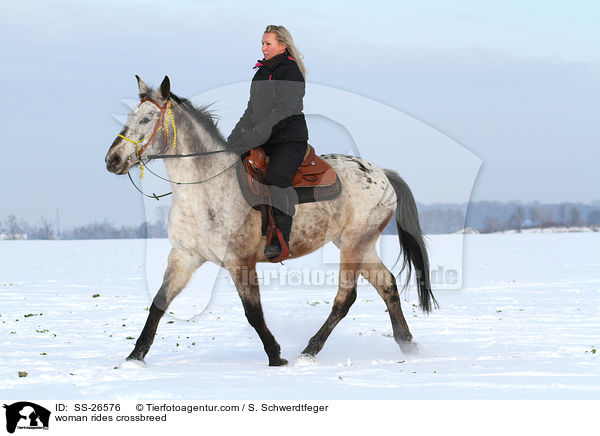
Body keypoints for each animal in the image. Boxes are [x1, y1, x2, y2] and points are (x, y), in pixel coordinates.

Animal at [105, 76, 436, 366]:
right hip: (358, 244)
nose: (113, 160)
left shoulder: (240, 261)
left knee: (346, 297)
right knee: (387, 284)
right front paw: (135, 357)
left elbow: (253, 313)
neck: (206, 188)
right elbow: (159, 303)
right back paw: (407, 344)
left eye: (146, 119)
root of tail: (382, 174)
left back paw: (309, 350)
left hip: (355, 244)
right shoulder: (185, 257)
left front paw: (276, 356)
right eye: (131, 116)